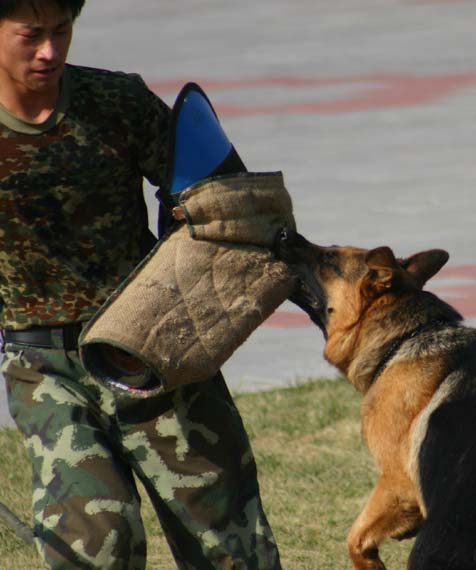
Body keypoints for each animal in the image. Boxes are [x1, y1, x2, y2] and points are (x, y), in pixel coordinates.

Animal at [278, 227, 476, 568]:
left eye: (329, 257)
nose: (285, 232)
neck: (405, 339)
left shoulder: (397, 483)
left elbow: (355, 536)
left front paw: (369, 561)